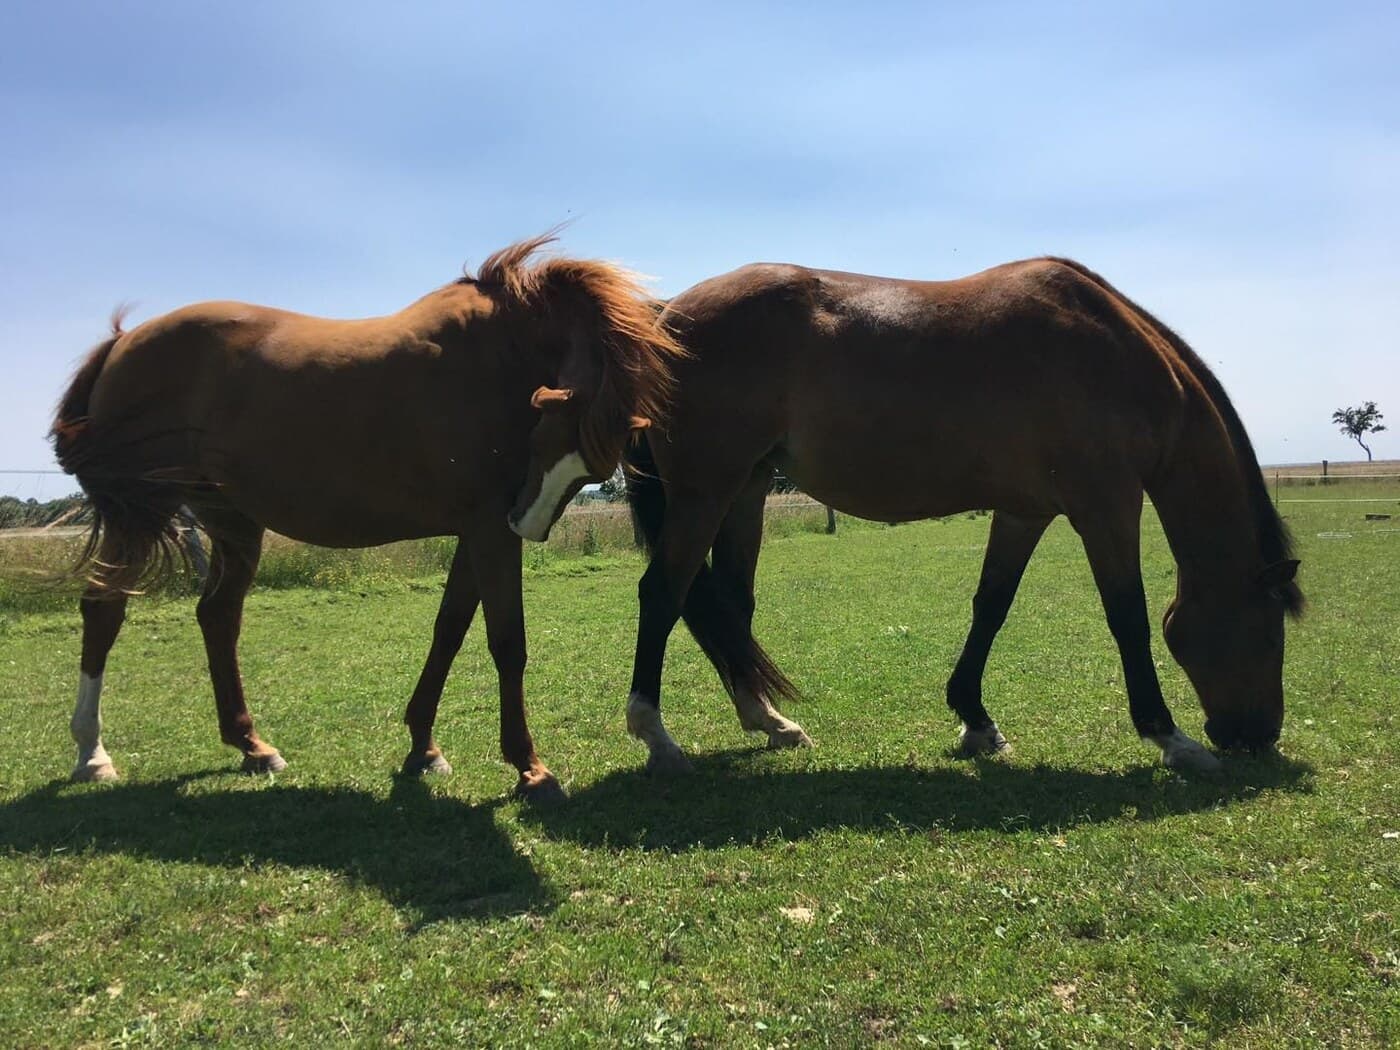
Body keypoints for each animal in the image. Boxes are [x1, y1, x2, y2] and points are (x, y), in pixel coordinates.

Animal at [50, 234, 682, 803]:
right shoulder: (487, 530)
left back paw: (252, 746)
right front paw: (530, 768)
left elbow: (449, 630)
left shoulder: (476, 531)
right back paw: (92, 754)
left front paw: (423, 747)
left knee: (218, 617)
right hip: (139, 514)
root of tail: (122, 343)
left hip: (232, 521)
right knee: (104, 611)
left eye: (589, 470)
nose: (525, 523)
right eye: (545, 435)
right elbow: (507, 642)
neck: (501, 351)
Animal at [622, 257, 1303, 775]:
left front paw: (975, 720)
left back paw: (769, 721)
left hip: (745, 490)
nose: (1259, 735)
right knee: (663, 594)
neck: (1117, 359)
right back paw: (657, 735)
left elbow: (991, 606)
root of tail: (667, 316)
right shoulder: (1106, 505)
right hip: (705, 492)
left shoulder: (1025, 512)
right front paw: (1170, 737)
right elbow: (1127, 617)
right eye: (1272, 632)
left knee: (732, 608)